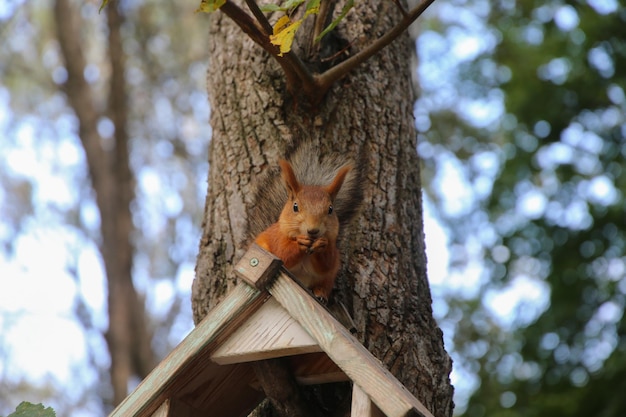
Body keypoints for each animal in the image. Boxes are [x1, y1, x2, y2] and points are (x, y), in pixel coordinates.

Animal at [247, 143, 364, 302]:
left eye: (330, 209)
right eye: (295, 207)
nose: (313, 230)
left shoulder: (331, 256)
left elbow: (327, 263)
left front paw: (322, 244)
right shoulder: (276, 239)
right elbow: (282, 253)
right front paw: (299, 243)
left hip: (328, 279)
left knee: (324, 283)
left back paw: (320, 294)